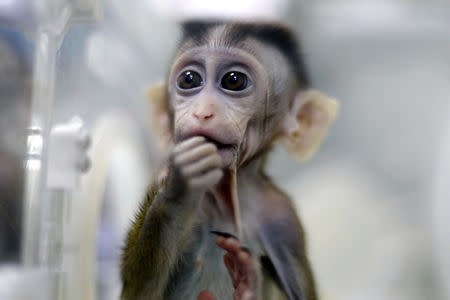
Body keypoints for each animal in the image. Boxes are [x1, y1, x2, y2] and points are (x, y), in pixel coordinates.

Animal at [119, 21, 338, 300]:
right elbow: (138, 294)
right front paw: (179, 189)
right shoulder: (157, 178)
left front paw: (249, 281)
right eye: (189, 79)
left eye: (234, 81)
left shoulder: (284, 219)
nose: (202, 112)